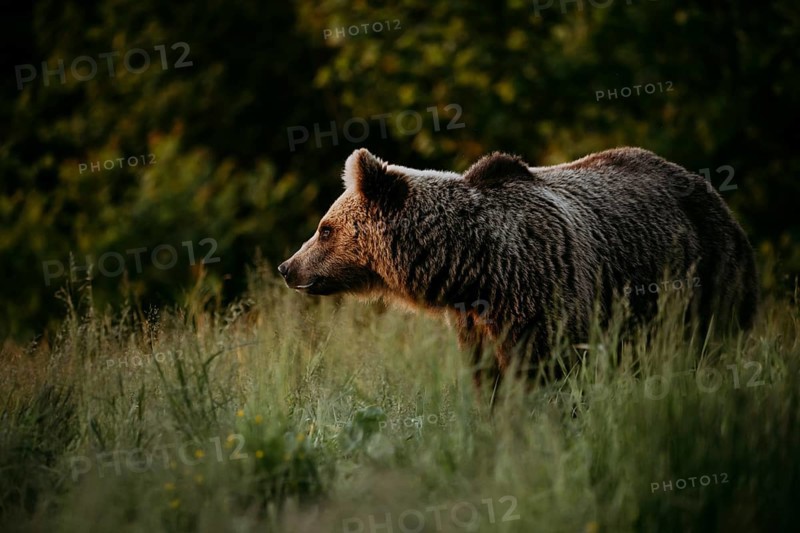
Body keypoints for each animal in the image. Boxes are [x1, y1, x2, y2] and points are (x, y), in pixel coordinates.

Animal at [278, 147, 758, 396]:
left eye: (324, 229)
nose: (287, 267)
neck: (472, 266)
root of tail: (711, 191)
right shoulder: (475, 323)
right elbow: (488, 379)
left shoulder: (543, 294)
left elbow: (546, 374)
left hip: (704, 272)